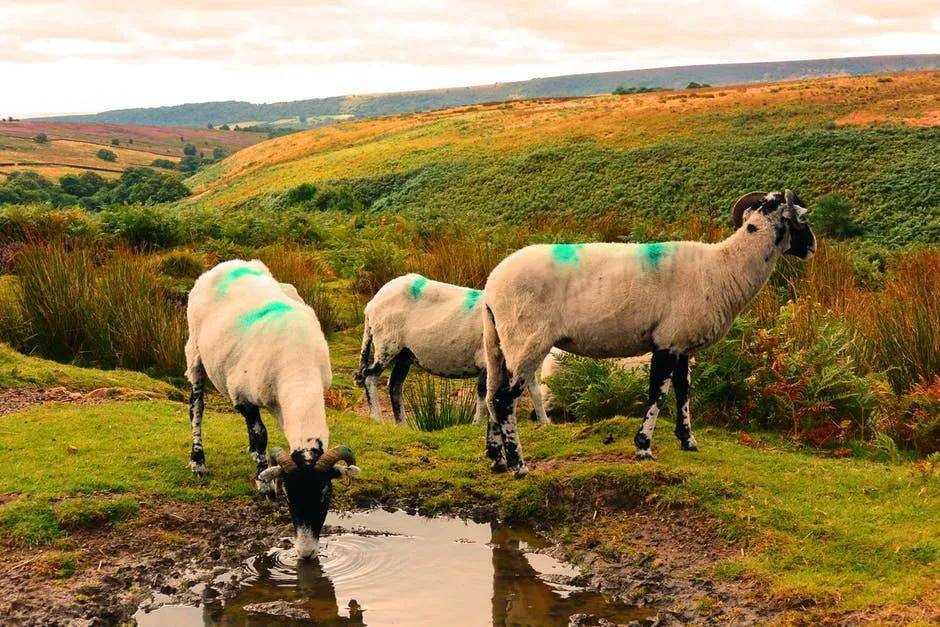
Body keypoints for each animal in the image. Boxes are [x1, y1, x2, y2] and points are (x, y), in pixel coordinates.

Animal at [186, 260, 360, 560]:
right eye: (288, 496)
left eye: (326, 494)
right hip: (194, 350)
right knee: (196, 406)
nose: (305, 552)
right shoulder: (243, 397)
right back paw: (198, 462)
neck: (297, 366)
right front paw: (263, 484)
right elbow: (260, 435)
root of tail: (228, 264)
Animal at [356, 274, 552, 426]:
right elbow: (483, 395)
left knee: (395, 386)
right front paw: (477, 424)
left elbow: (535, 392)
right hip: (387, 344)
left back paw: (402, 425)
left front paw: (544, 422)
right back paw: (377, 419)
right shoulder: (484, 362)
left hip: (405, 354)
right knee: (369, 378)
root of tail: (371, 305)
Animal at [484, 191, 816, 476]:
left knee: (489, 396)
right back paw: (518, 465)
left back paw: (497, 460)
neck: (724, 266)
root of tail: (492, 285)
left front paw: (687, 440)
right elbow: (658, 393)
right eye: (801, 220)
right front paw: (643, 447)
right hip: (526, 340)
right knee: (503, 400)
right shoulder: (667, 343)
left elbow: (683, 390)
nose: (813, 247)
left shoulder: (681, 343)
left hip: (498, 343)